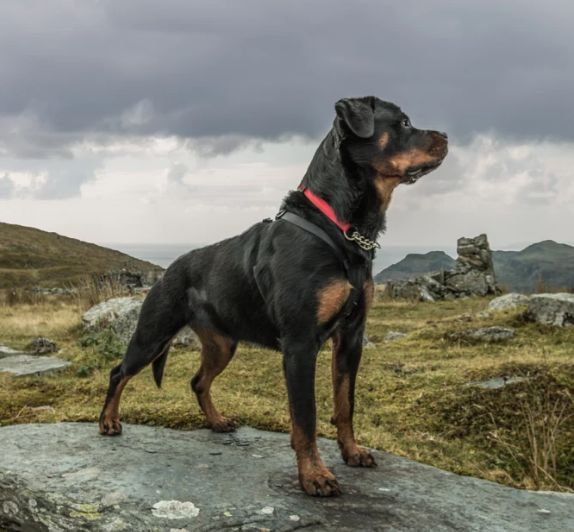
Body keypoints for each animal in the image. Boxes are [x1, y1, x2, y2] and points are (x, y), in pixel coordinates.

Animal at [99, 94, 450, 494]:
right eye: (404, 122)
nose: (446, 137)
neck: (338, 226)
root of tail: (170, 268)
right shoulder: (300, 344)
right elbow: (306, 417)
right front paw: (314, 475)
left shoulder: (350, 338)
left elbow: (345, 404)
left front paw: (351, 452)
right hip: (153, 333)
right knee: (119, 372)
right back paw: (108, 421)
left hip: (222, 344)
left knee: (198, 381)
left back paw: (217, 421)